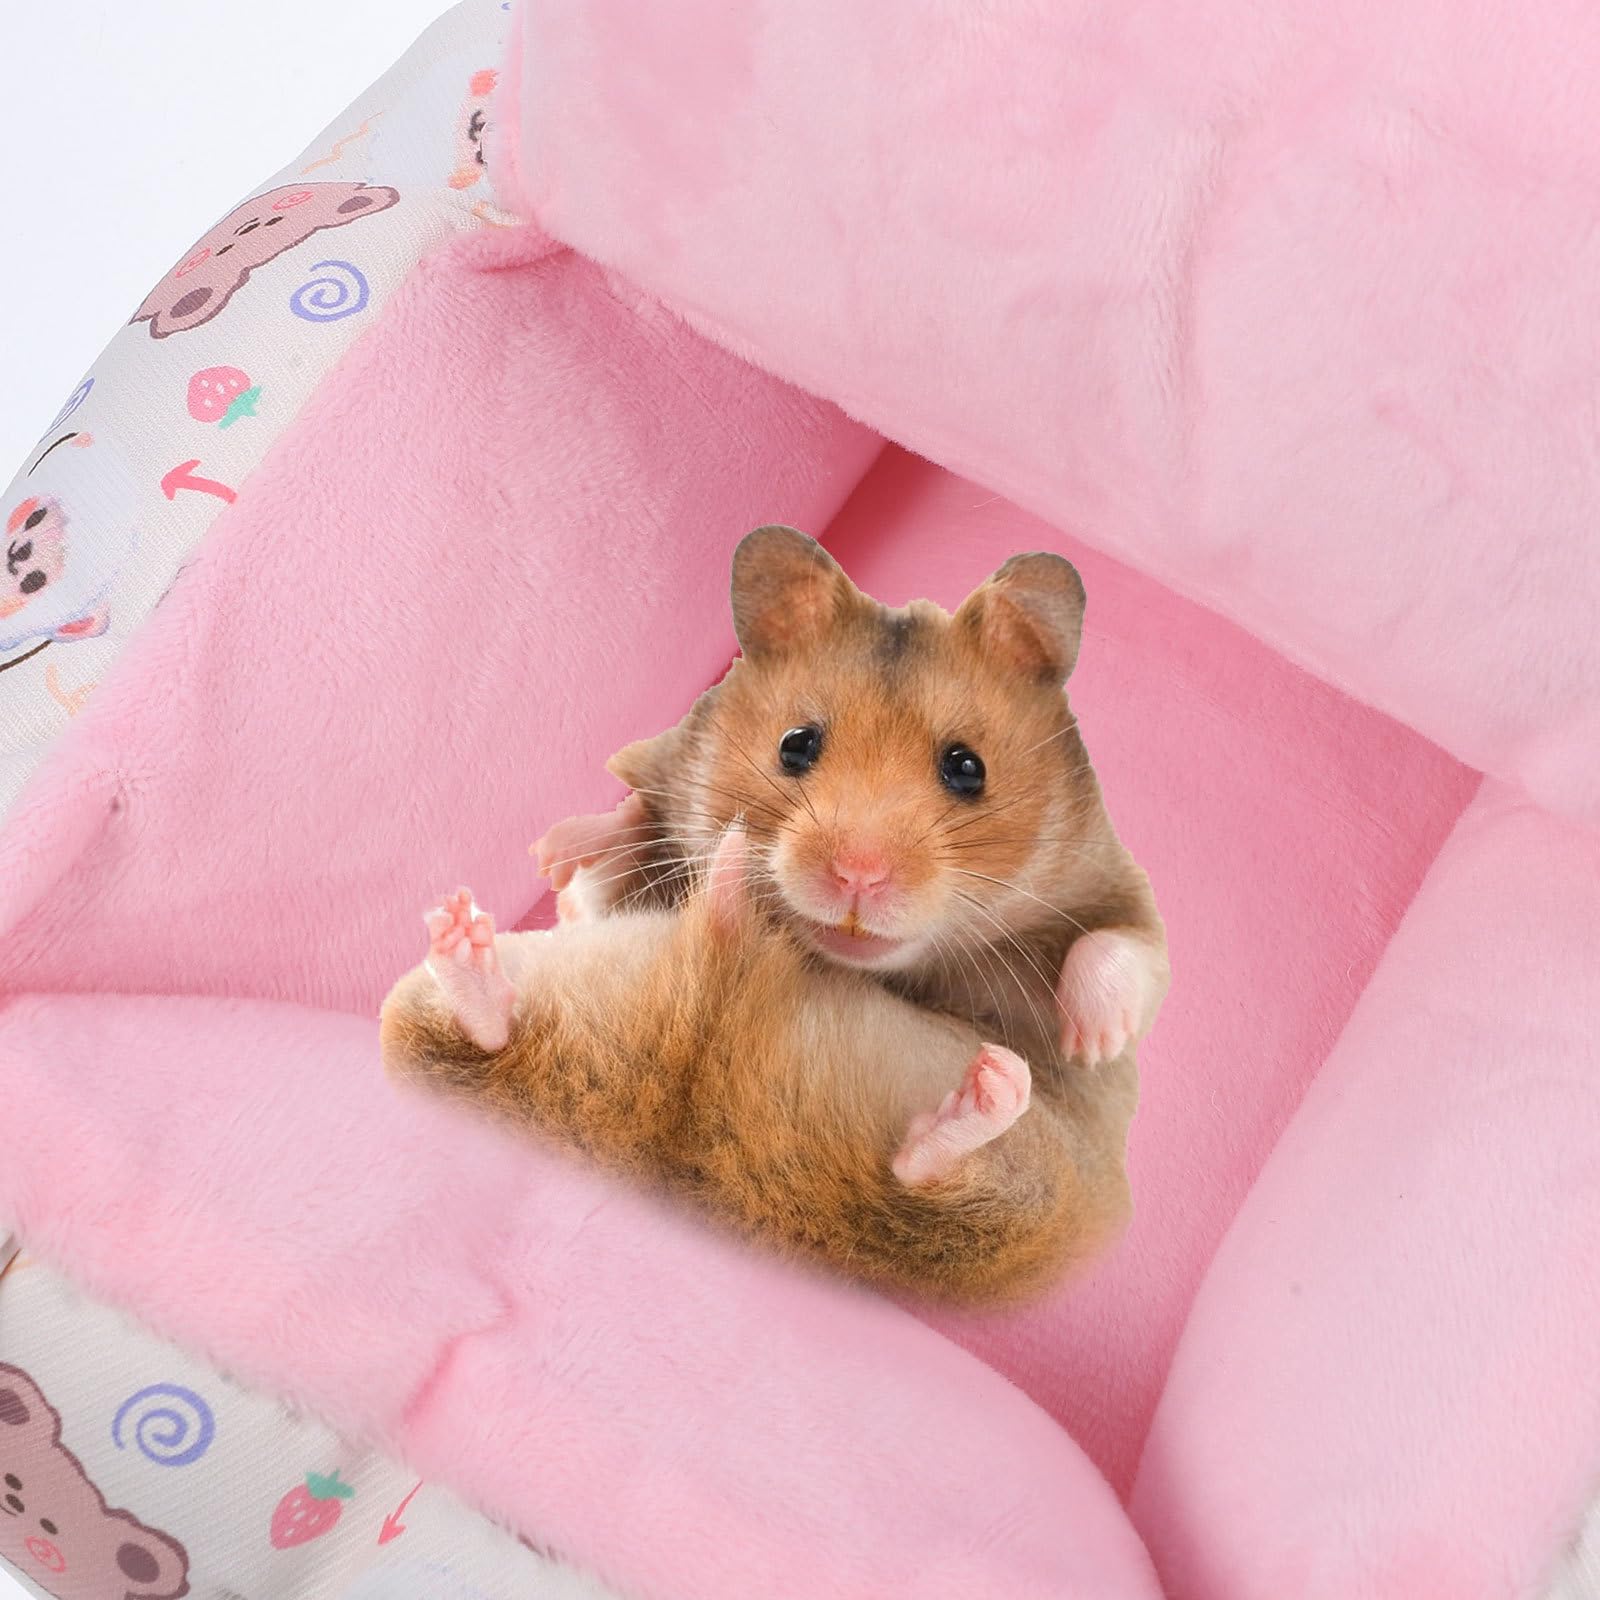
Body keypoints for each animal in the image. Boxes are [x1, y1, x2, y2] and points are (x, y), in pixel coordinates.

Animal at [534, 525, 1169, 1083]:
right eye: (795, 744)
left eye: (969, 768)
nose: (857, 876)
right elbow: (613, 861)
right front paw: (552, 853)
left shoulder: (1114, 884)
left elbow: (1119, 946)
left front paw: (1091, 1044)